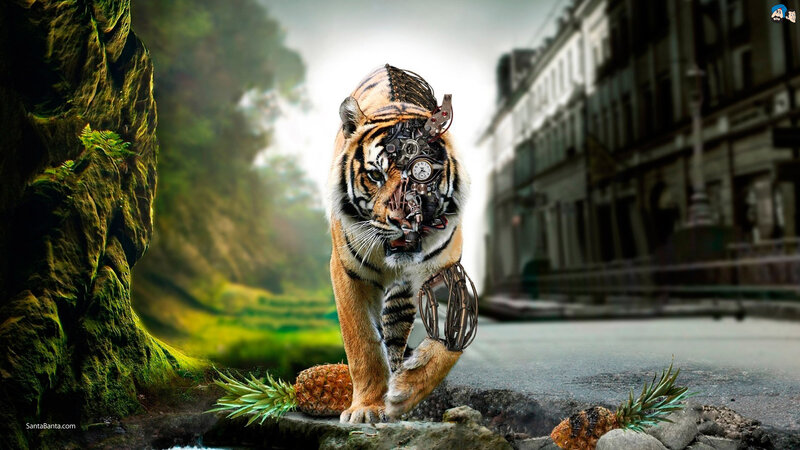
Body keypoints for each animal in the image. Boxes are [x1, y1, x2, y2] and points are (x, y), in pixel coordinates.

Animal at [327, 64, 470, 424]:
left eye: (422, 173)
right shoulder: (348, 273)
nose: (403, 220)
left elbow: (449, 342)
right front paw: (366, 407)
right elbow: (362, 342)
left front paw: (406, 390)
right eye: (375, 175)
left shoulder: (448, 272)